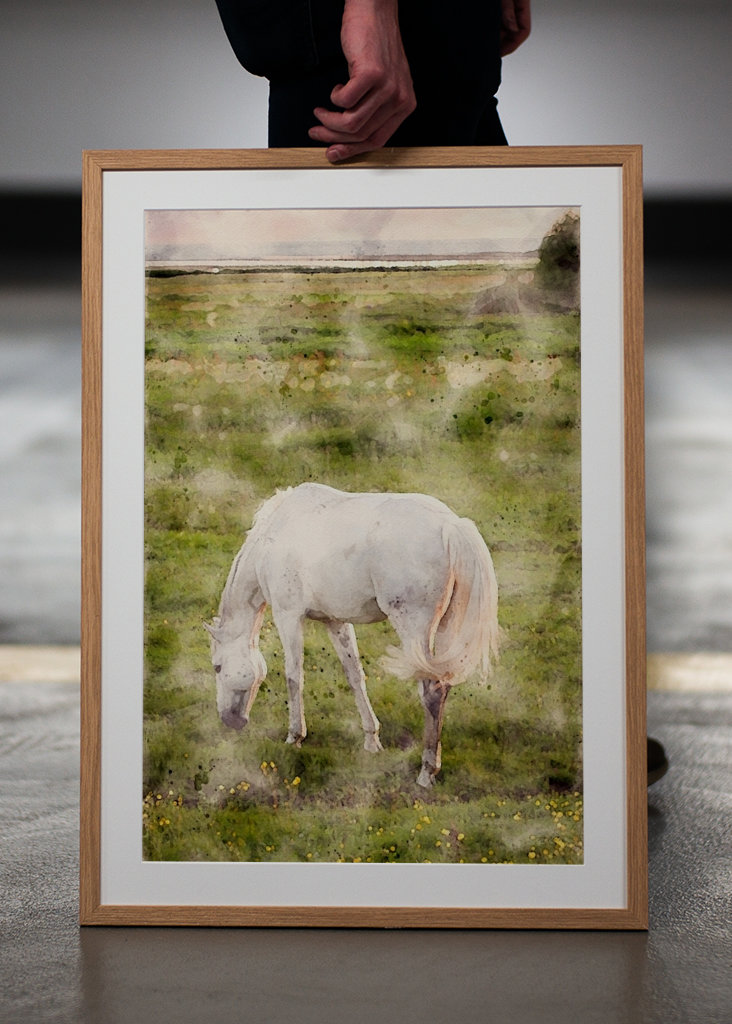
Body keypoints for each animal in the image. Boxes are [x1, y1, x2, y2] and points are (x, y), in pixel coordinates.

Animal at [204, 482, 499, 787]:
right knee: (443, 684)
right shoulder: (336, 621)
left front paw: (295, 736)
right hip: (443, 630)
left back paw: (426, 771)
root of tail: (451, 525)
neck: (275, 533)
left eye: (217, 667)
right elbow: (354, 674)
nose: (229, 720)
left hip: (414, 628)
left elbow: (293, 676)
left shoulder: (288, 615)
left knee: (432, 690)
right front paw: (371, 740)